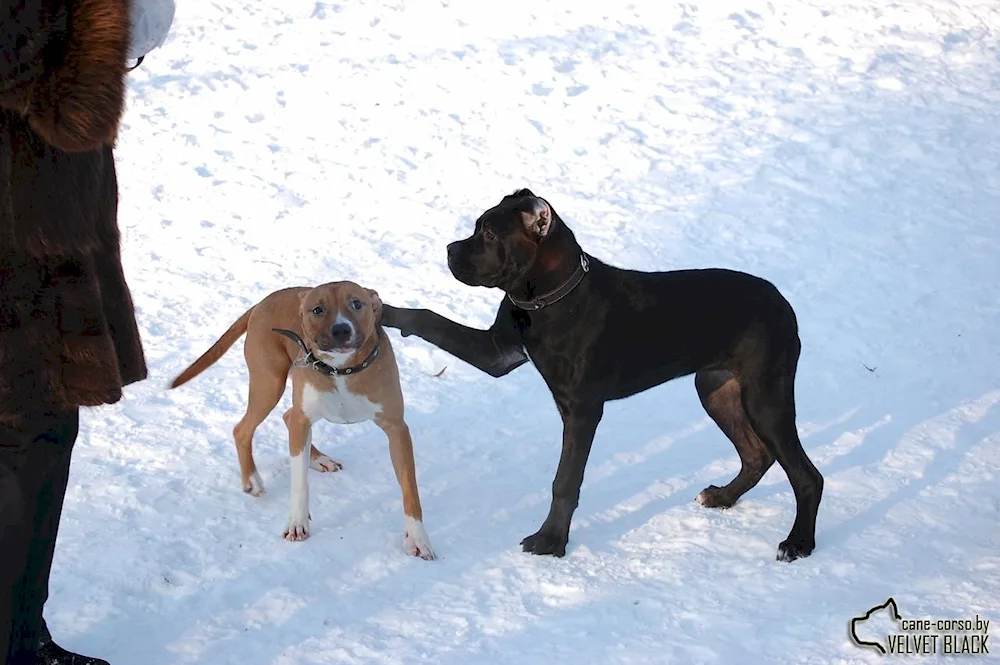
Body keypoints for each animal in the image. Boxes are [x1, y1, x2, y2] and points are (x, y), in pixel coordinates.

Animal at [169, 280, 434, 560]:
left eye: (357, 303)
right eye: (317, 309)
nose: (341, 329)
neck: (341, 370)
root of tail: (264, 301)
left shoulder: (397, 429)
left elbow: (410, 489)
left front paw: (418, 538)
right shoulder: (302, 420)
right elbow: (299, 483)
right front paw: (297, 523)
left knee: (286, 416)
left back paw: (318, 459)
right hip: (268, 384)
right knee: (244, 429)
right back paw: (253, 479)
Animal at [378, 188, 824, 560]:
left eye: (488, 233)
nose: (449, 250)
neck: (547, 299)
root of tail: (784, 303)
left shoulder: (583, 410)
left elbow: (565, 480)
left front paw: (551, 541)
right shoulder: (497, 352)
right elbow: (429, 319)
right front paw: (379, 310)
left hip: (765, 396)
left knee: (806, 476)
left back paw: (798, 542)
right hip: (716, 389)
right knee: (756, 454)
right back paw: (724, 497)